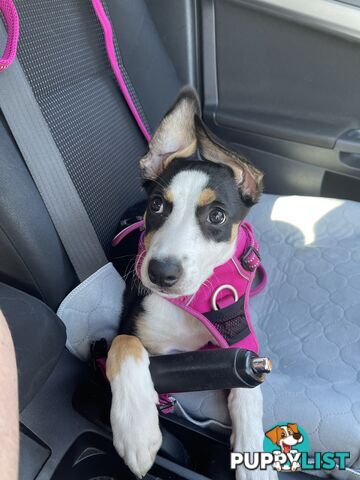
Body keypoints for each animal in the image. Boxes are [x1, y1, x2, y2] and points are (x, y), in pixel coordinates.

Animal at [105, 90, 278, 480]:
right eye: (157, 205)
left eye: (217, 215)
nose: (160, 273)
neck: (190, 300)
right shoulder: (131, 322)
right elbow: (124, 345)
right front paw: (137, 431)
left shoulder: (236, 339)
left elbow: (250, 386)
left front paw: (254, 458)